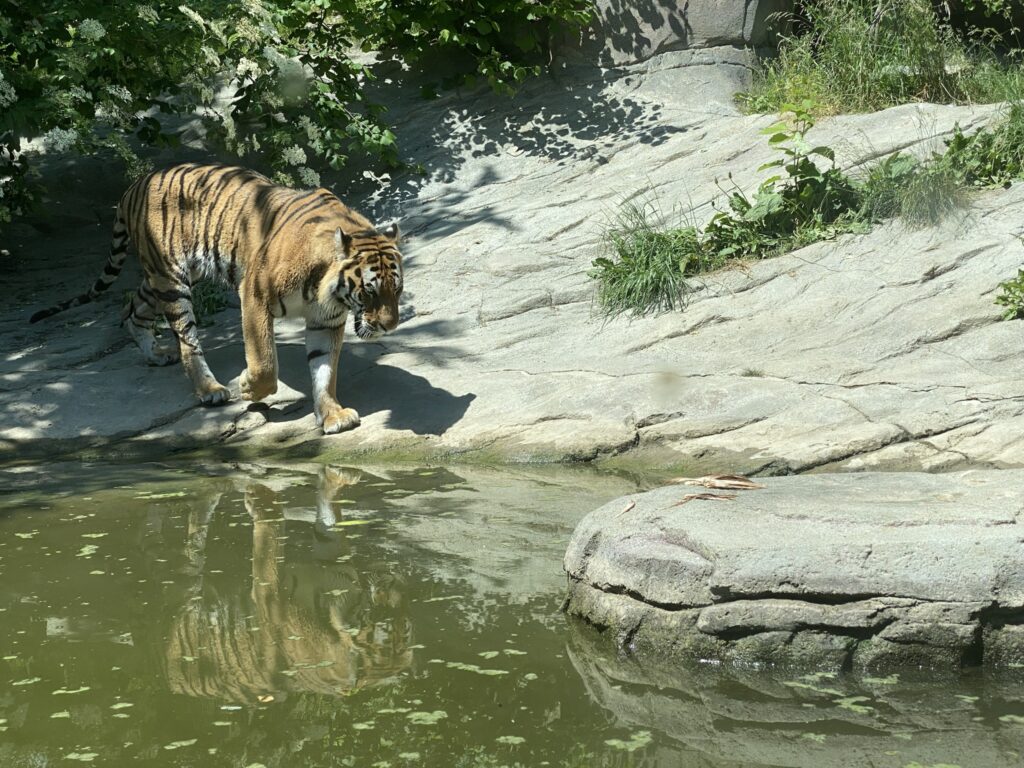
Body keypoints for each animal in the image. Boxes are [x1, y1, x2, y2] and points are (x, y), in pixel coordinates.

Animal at [29, 163, 403, 434]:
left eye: (396, 289)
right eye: (370, 290)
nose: (390, 327)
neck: (329, 290)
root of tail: (133, 186)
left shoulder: (326, 319)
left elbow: (325, 369)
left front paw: (332, 415)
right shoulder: (253, 295)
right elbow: (265, 361)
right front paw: (249, 387)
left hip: (164, 277)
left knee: (131, 308)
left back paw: (154, 355)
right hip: (172, 281)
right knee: (187, 342)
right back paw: (210, 389)